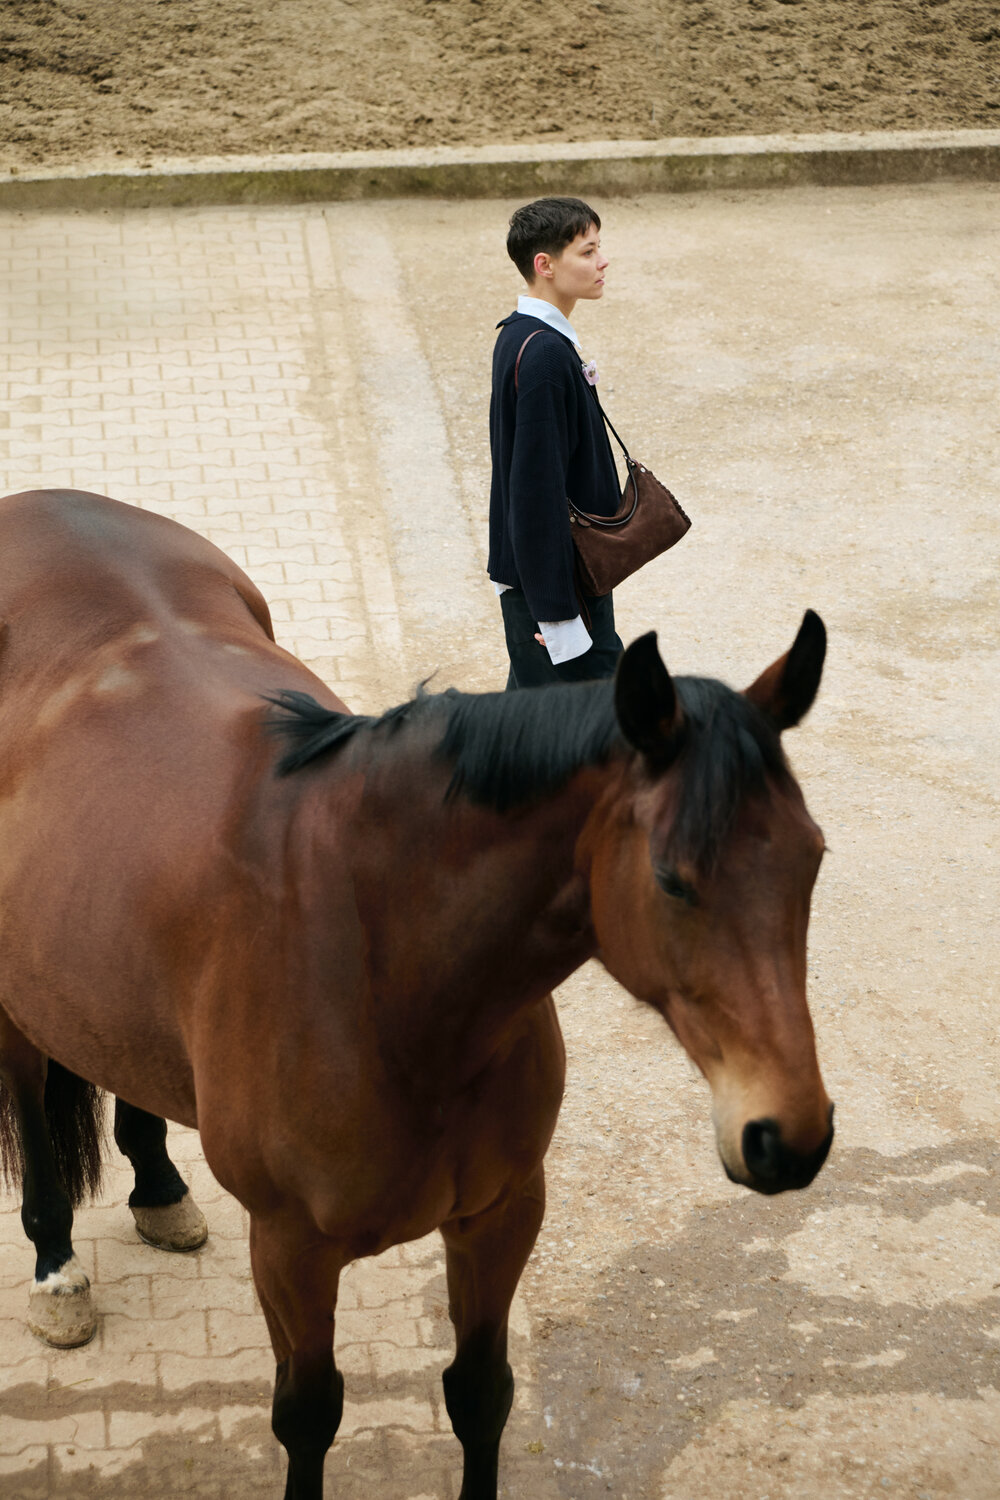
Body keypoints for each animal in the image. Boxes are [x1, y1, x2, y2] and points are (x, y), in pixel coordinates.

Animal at [0, 488, 833, 1500]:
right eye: (674, 880)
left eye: (813, 857)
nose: (791, 1135)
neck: (390, 976)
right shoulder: (290, 1248)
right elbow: (308, 1415)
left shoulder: (502, 1213)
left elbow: (480, 1391)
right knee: (28, 1095)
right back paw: (55, 1269)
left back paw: (159, 1188)